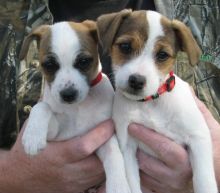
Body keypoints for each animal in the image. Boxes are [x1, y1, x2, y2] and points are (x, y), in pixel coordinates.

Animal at [19, 20, 130, 193]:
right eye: (49, 65)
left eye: (84, 61)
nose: (68, 94)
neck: (78, 107)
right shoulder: (57, 135)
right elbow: (42, 107)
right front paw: (33, 137)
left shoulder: (103, 135)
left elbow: (114, 155)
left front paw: (118, 186)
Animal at [97, 10, 217, 193]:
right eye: (125, 46)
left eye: (162, 55)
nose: (136, 81)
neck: (149, 103)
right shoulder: (127, 146)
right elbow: (133, 183)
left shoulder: (199, 136)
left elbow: (204, 180)